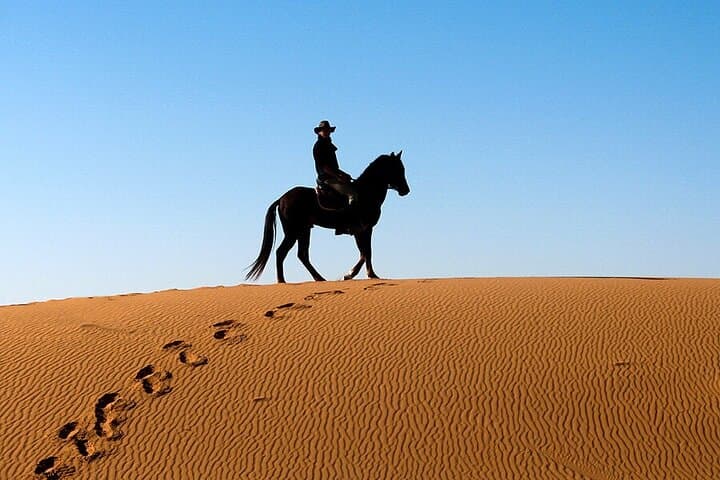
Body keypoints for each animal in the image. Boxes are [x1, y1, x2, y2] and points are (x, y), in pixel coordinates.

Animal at [245, 151, 410, 283]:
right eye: (398, 169)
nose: (406, 190)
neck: (366, 193)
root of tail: (281, 199)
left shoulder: (365, 229)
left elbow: (367, 252)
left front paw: (371, 275)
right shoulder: (361, 229)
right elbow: (365, 253)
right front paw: (350, 274)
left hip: (304, 230)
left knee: (302, 255)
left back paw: (319, 278)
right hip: (293, 231)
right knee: (281, 252)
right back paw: (282, 280)